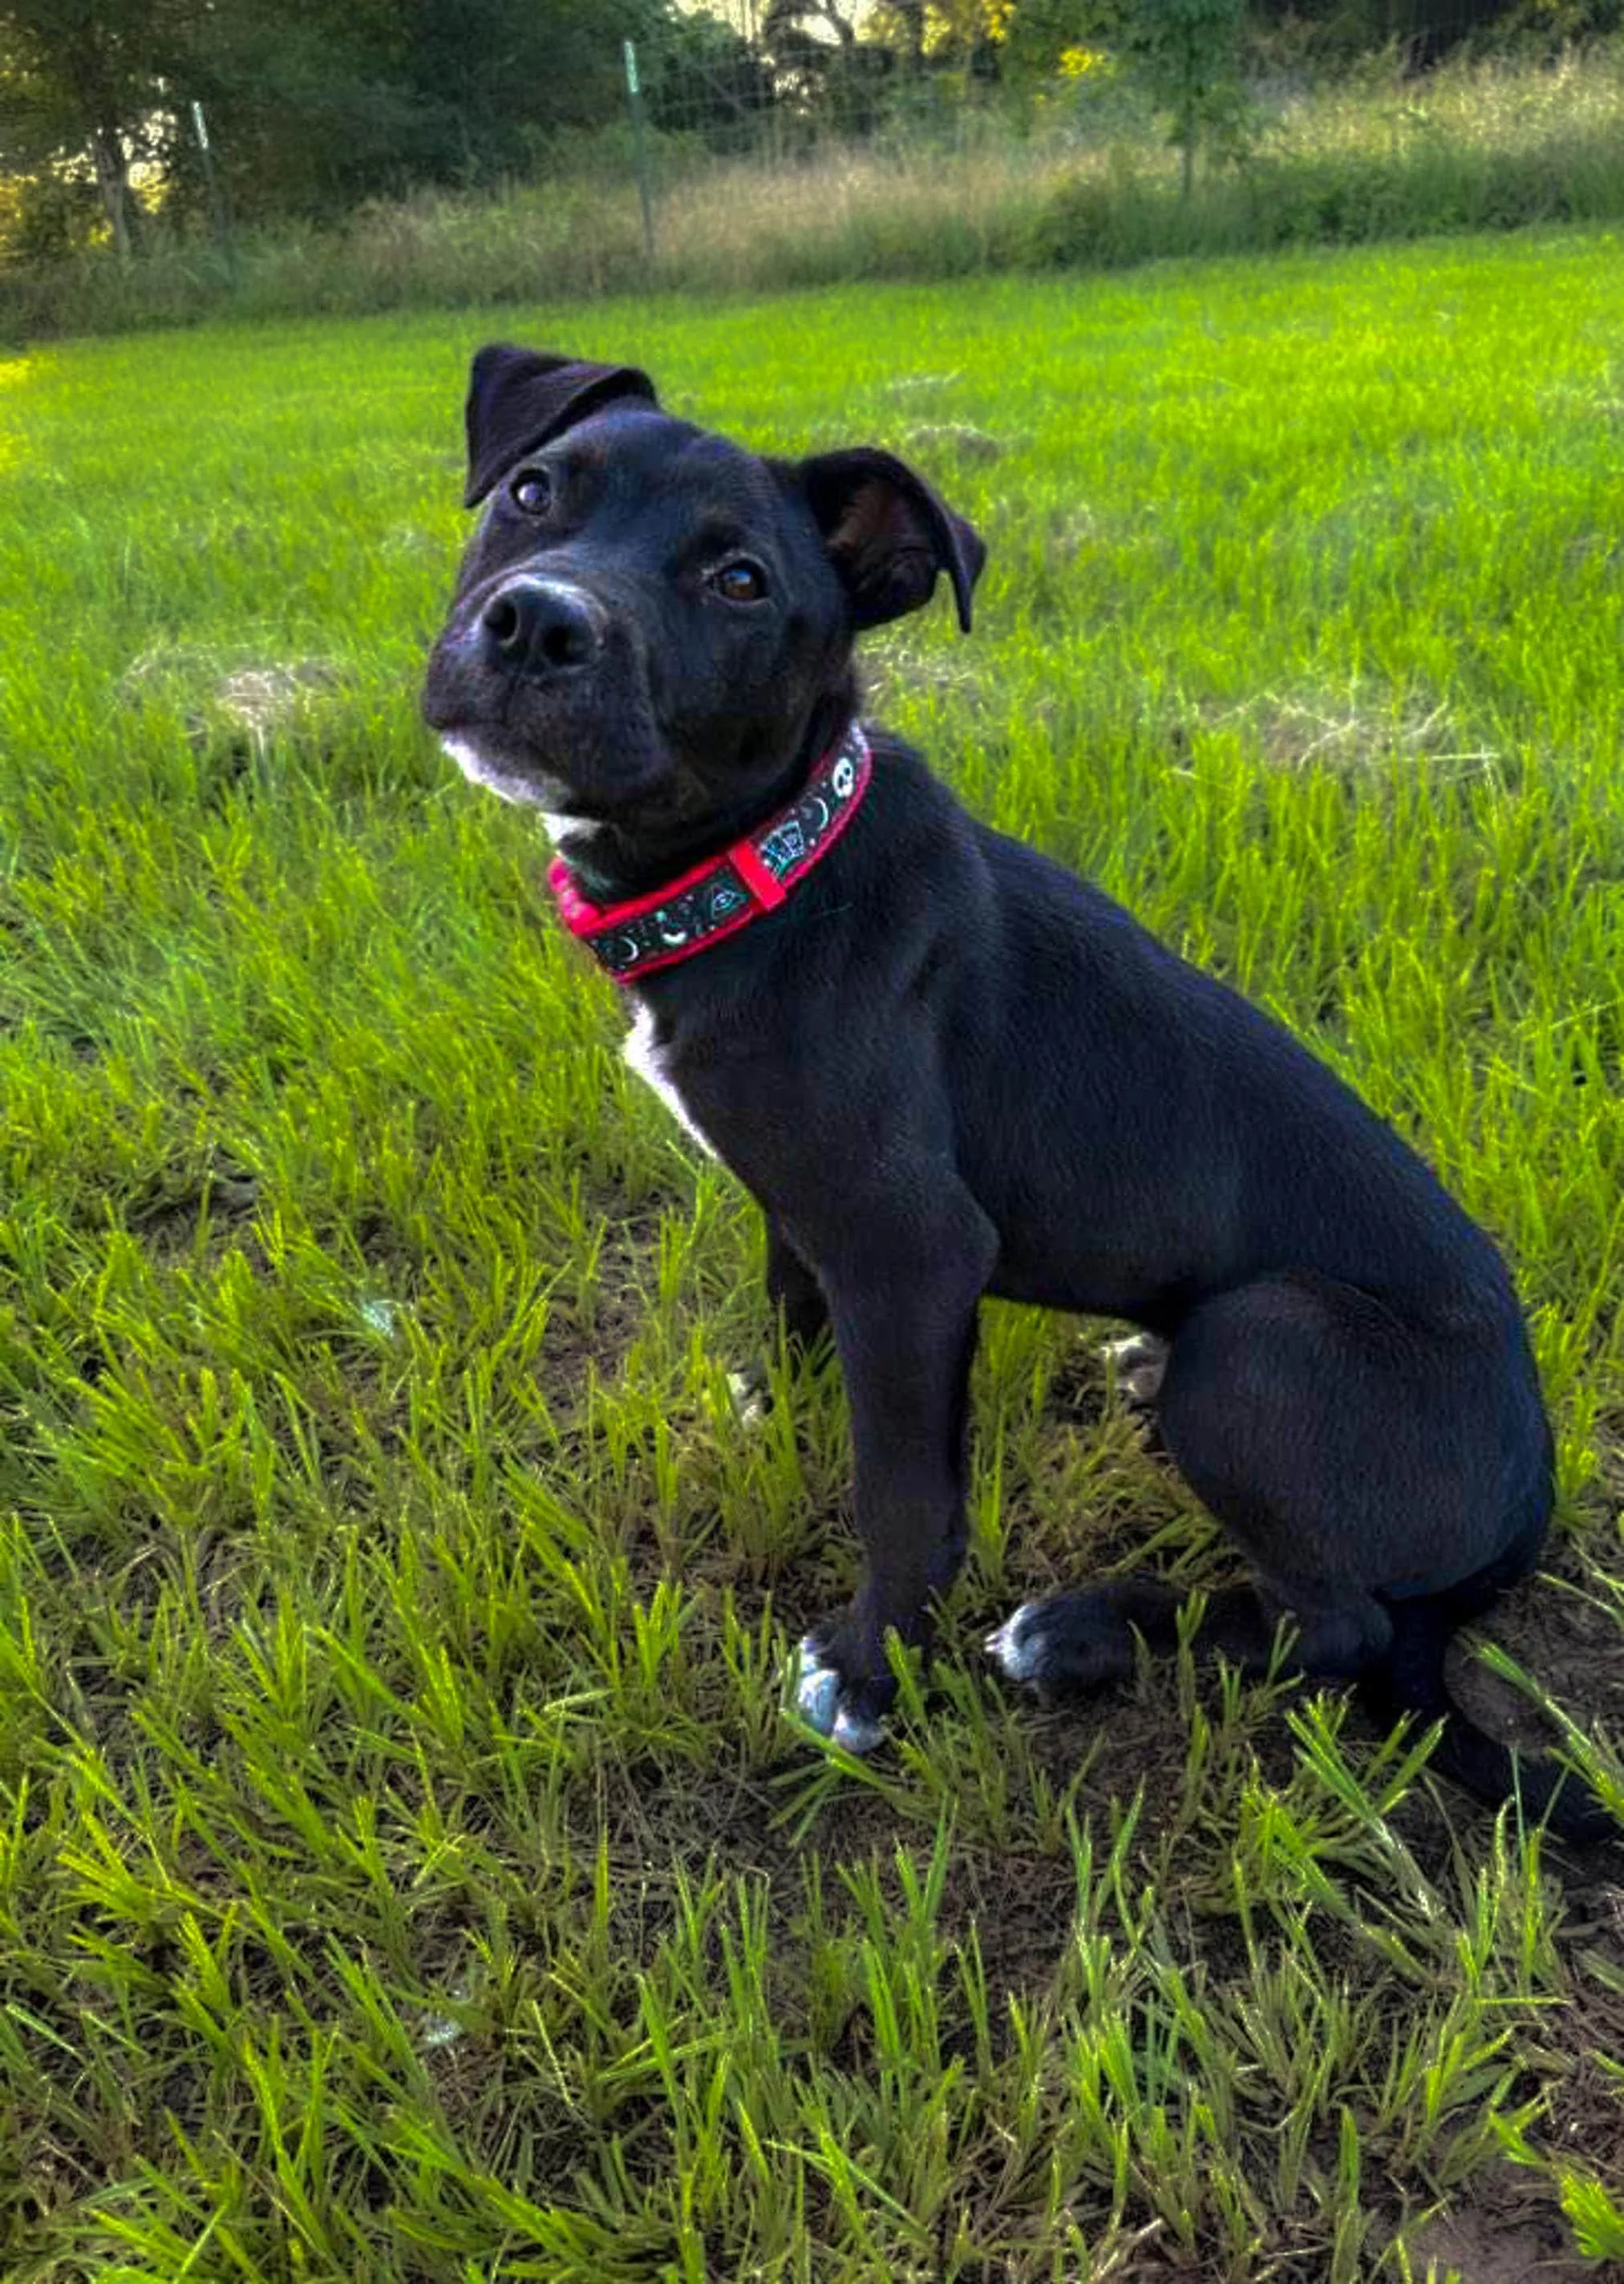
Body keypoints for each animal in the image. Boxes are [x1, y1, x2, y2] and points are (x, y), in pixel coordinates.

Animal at [424, 342, 1608, 1836]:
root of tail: (1527, 1506)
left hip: (1265, 1341)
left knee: (1333, 1627)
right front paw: (782, 1421)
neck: (771, 862)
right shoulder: (807, 1208)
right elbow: (805, 1330)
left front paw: (868, 1671)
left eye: (740, 580)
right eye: (531, 491)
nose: (535, 625)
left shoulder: (914, 1247)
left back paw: (1078, 1634)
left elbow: (905, 1493)